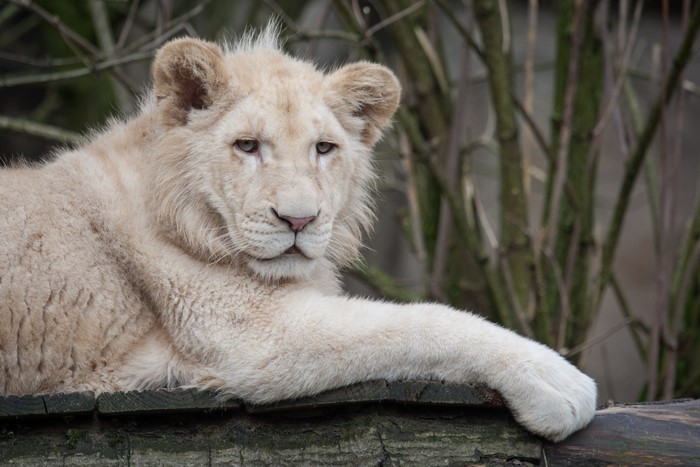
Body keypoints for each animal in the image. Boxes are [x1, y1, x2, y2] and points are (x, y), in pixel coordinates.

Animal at [0, 27, 596, 442]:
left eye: (323, 148)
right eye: (246, 146)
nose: (299, 221)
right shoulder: (249, 338)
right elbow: (423, 322)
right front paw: (558, 383)